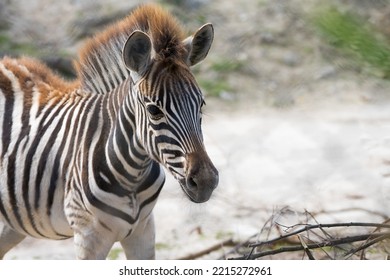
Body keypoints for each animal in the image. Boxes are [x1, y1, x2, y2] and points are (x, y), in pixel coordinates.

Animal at [0, 3, 218, 260]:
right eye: (154, 110)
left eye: (201, 104)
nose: (205, 181)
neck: (132, 177)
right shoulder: (88, 237)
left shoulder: (144, 231)